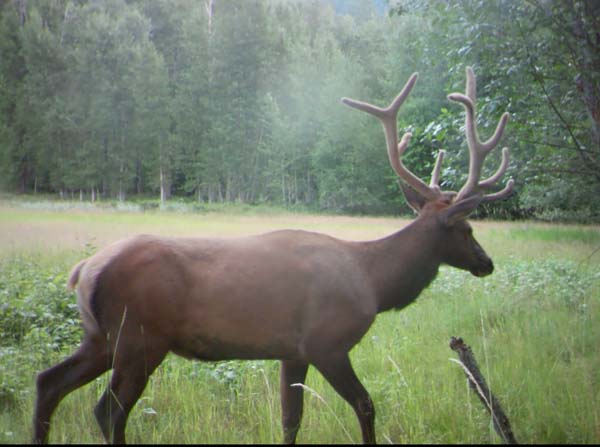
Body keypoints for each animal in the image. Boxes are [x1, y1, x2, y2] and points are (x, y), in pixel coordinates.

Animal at [32, 66, 512, 444]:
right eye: (467, 228)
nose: (487, 263)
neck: (373, 283)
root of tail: (83, 271)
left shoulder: (292, 351)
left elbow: (290, 419)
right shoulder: (326, 341)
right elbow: (366, 406)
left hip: (101, 337)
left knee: (47, 383)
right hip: (140, 338)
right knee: (108, 411)